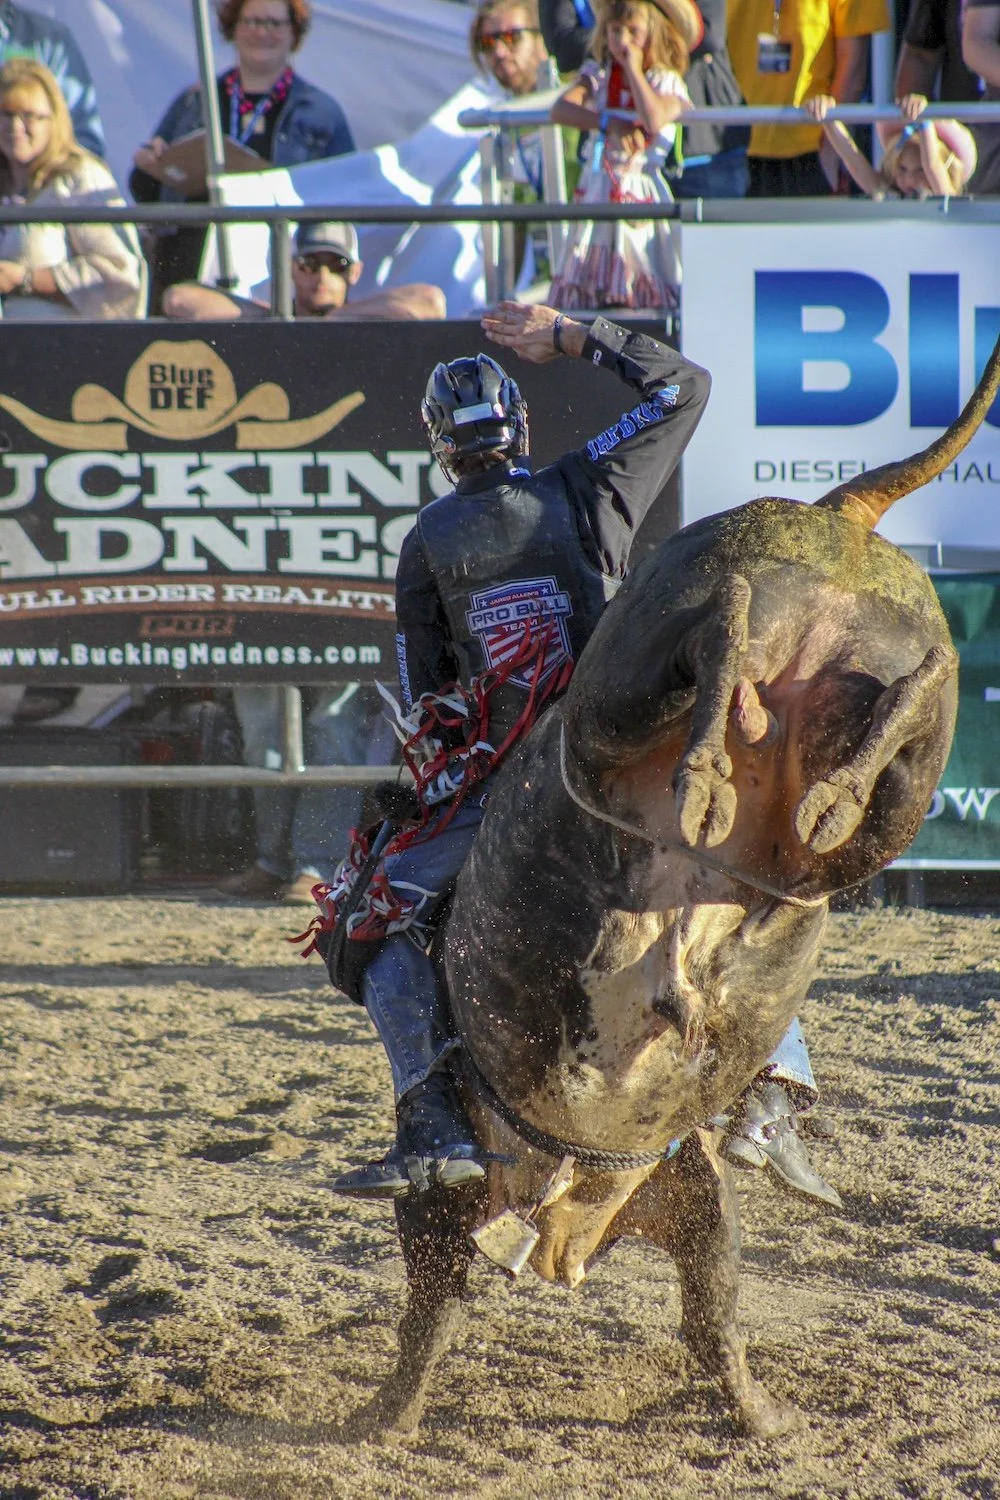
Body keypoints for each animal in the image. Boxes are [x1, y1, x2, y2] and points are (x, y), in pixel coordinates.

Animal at [340, 333, 1000, 1443]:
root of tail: (833, 517)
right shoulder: (689, 1184)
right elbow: (711, 1307)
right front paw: (762, 1419)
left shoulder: (480, 1208)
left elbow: (435, 1307)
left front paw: (383, 1414)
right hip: (885, 751)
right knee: (883, 741)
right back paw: (813, 766)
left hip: (621, 684)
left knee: (709, 643)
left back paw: (713, 739)